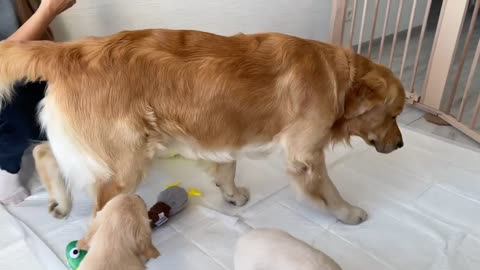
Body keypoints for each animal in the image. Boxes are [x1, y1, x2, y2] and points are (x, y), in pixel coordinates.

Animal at [0, 28, 404, 225]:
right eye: (395, 114)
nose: (400, 145)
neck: (338, 78)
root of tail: (71, 50)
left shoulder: (224, 130)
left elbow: (227, 167)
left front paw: (232, 194)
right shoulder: (306, 156)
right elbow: (328, 190)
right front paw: (348, 213)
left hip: (102, 148)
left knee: (44, 150)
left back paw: (60, 202)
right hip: (126, 160)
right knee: (100, 210)